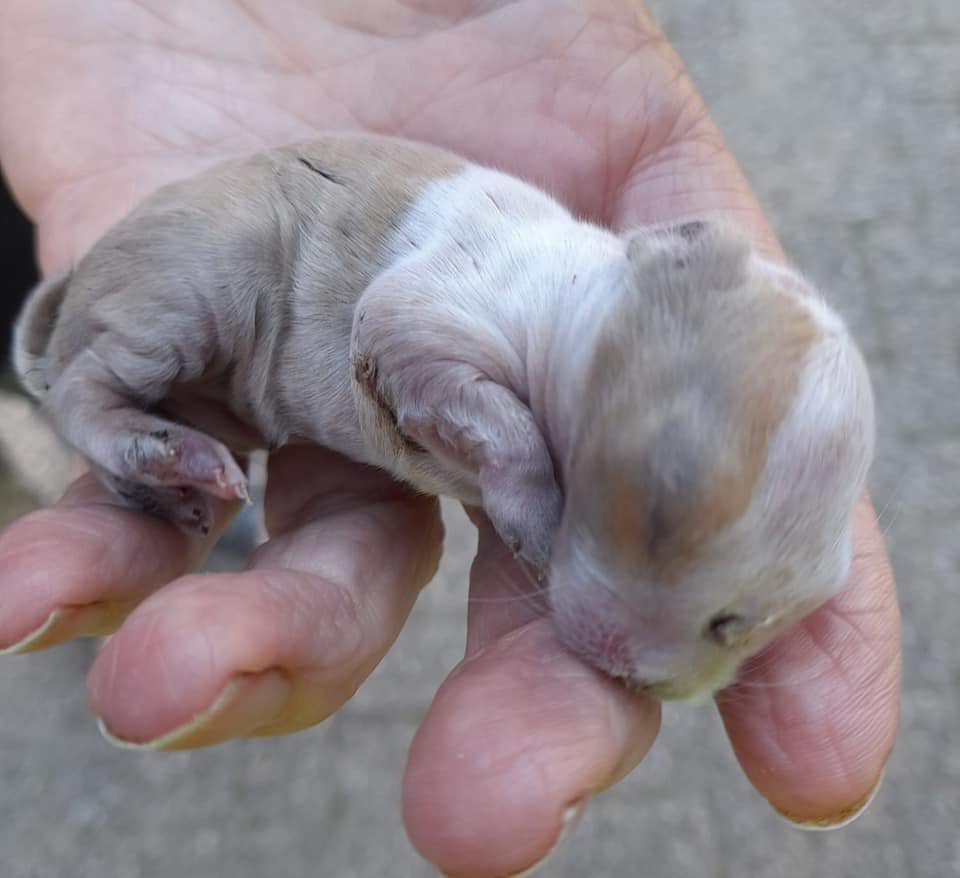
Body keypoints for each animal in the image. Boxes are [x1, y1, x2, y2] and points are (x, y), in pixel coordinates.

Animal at [11, 136, 872, 700]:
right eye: (653, 513)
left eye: (741, 622)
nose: (633, 677)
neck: (581, 298)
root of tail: (71, 290)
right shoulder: (417, 321)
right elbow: (498, 420)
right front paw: (537, 519)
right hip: (195, 279)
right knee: (77, 390)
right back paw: (160, 453)